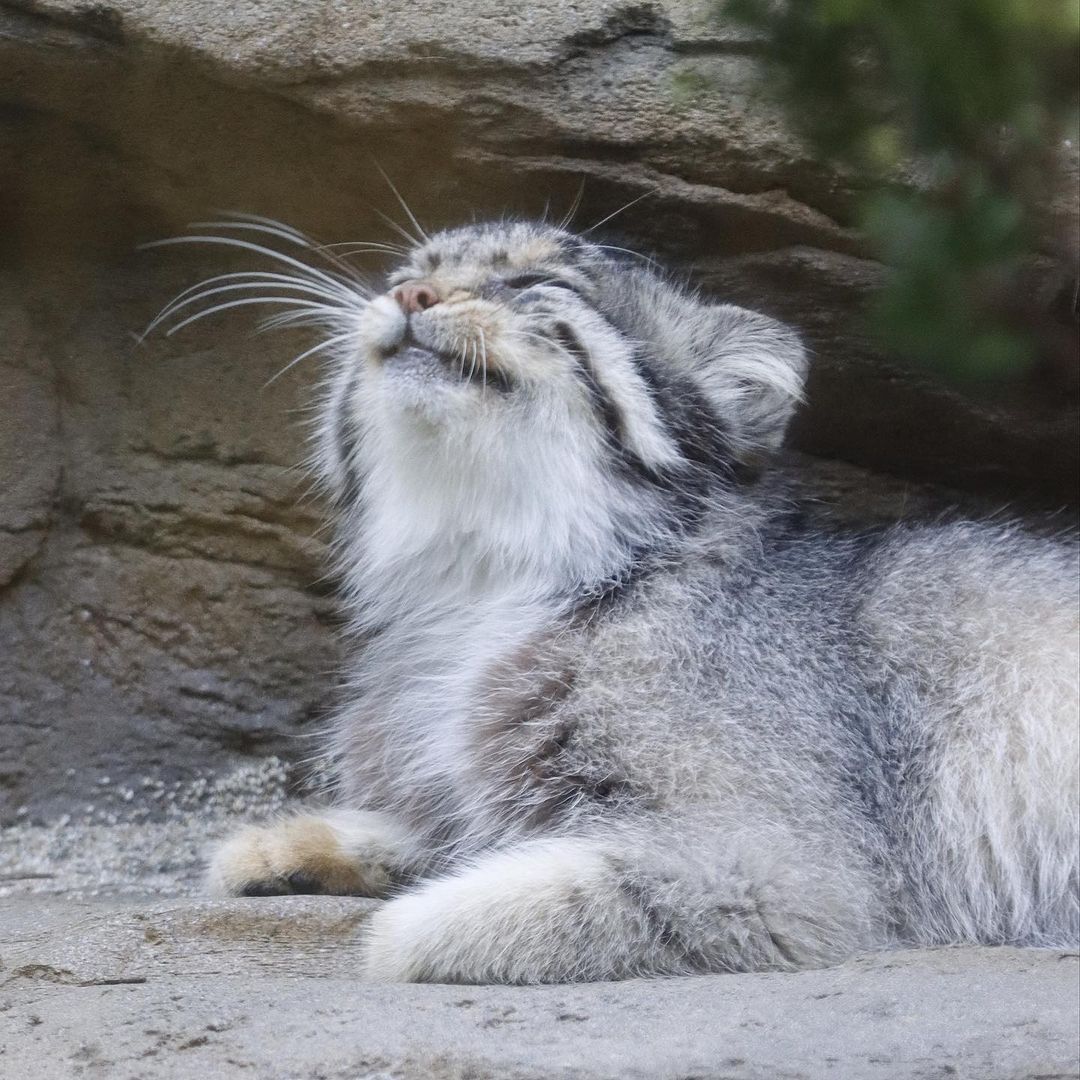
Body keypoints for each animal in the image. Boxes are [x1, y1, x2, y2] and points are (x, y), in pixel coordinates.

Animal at [154, 214, 1080, 984]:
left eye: (538, 282)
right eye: (408, 273)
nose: (408, 297)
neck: (486, 580)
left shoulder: (785, 869)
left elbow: (519, 900)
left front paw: (404, 928)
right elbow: (451, 830)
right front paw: (302, 844)